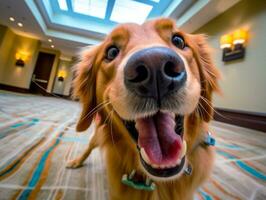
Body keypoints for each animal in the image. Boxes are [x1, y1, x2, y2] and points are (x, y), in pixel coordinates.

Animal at [67, 18, 220, 199]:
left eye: (178, 40)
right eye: (111, 52)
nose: (155, 65)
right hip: (96, 136)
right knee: (89, 146)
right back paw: (76, 161)